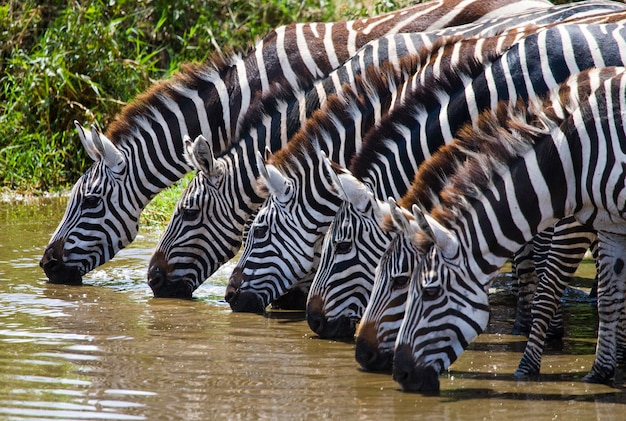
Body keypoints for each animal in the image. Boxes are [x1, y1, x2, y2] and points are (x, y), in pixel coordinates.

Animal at [392, 65, 624, 390]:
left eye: (431, 292)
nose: (399, 373)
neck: (573, 160)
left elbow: (547, 290)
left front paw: (526, 367)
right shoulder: (612, 226)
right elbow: (609, 299)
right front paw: (600, 372)